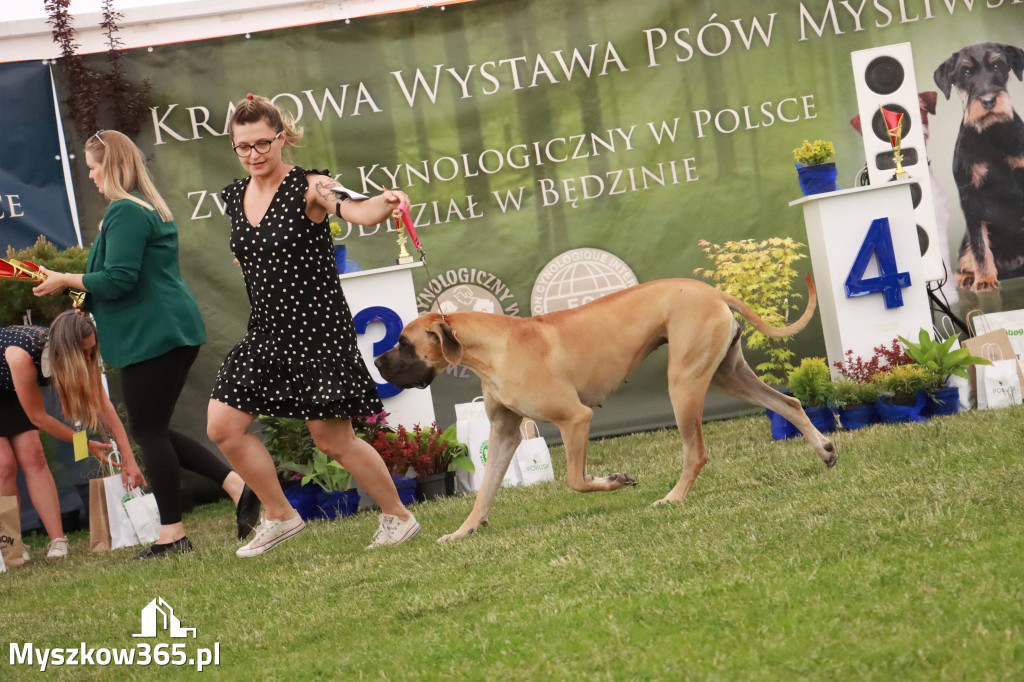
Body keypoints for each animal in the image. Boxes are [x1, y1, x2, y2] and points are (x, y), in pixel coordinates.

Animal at [372, 274, 835, 540]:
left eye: (404, 343)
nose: (376, 362)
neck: (493, 348)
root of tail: (712, 290)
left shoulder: (576, 418)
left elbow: (577, 481)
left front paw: (615, 480)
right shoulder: (504, 433)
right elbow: (485, 491)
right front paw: (465, 531)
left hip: (684, 383)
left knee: (697, 452)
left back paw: (673, 497)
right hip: (725, 373)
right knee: (789, 401)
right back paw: (825, 449)